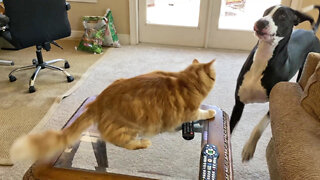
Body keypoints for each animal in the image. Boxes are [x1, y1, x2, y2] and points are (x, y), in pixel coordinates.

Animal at [11, 59, 219, 162]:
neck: (185, 80)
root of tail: (99, 100)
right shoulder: (190, 111)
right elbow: (202, 112)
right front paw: (211, 112)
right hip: (131, 126)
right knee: (120, 142)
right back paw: (142, 143)